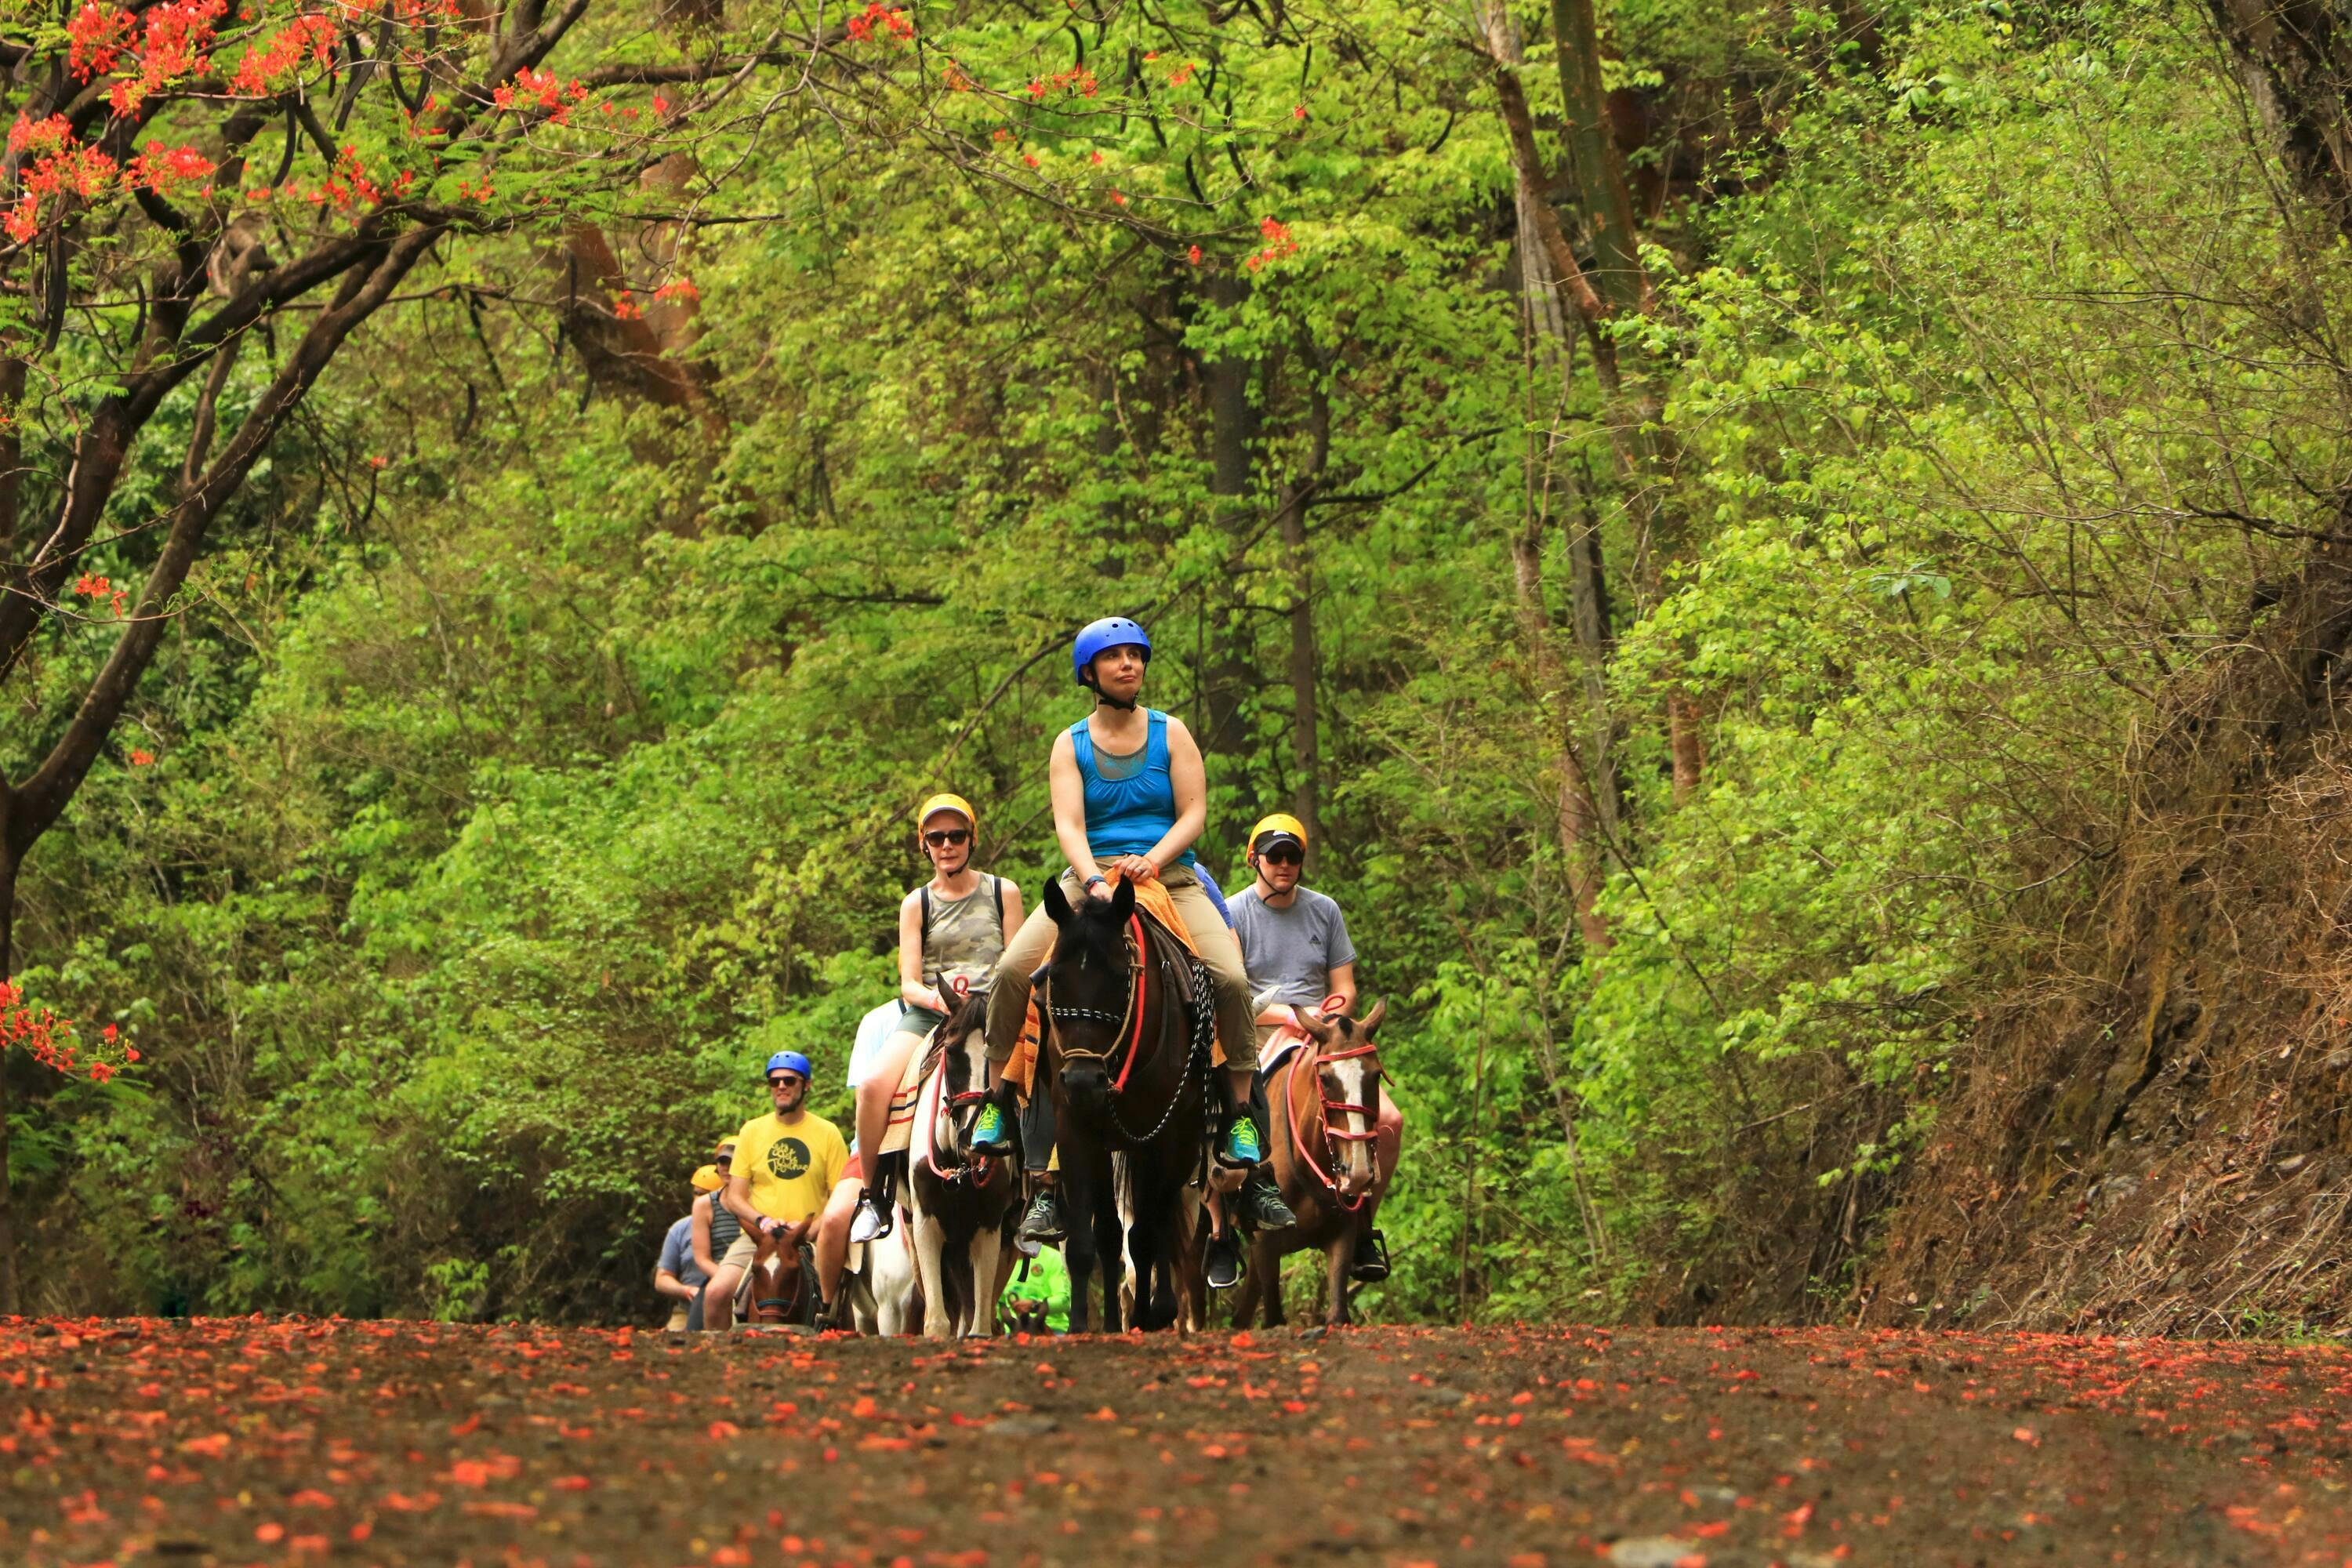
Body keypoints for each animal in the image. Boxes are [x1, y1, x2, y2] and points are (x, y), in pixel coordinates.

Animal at [1054, 879, 1232, 1335]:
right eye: (1054, 977)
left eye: (1121, 978)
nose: (1081, 1081)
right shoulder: (1077, 1132)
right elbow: (1092, 1239)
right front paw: (1084, 1325)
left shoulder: (1163, 1136)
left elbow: (1148, 1235)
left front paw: (1150, 1315)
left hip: (1176, 1146)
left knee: (1161, 1223)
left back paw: (1158, 1311)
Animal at [1232, 1006, 1392, 1326]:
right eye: (1326, 1079)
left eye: (1375, 1076)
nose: (1357, 1173)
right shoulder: (1266, 1245)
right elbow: (1273, 1317)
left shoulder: (1342, 1236)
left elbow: (1338, 1313)